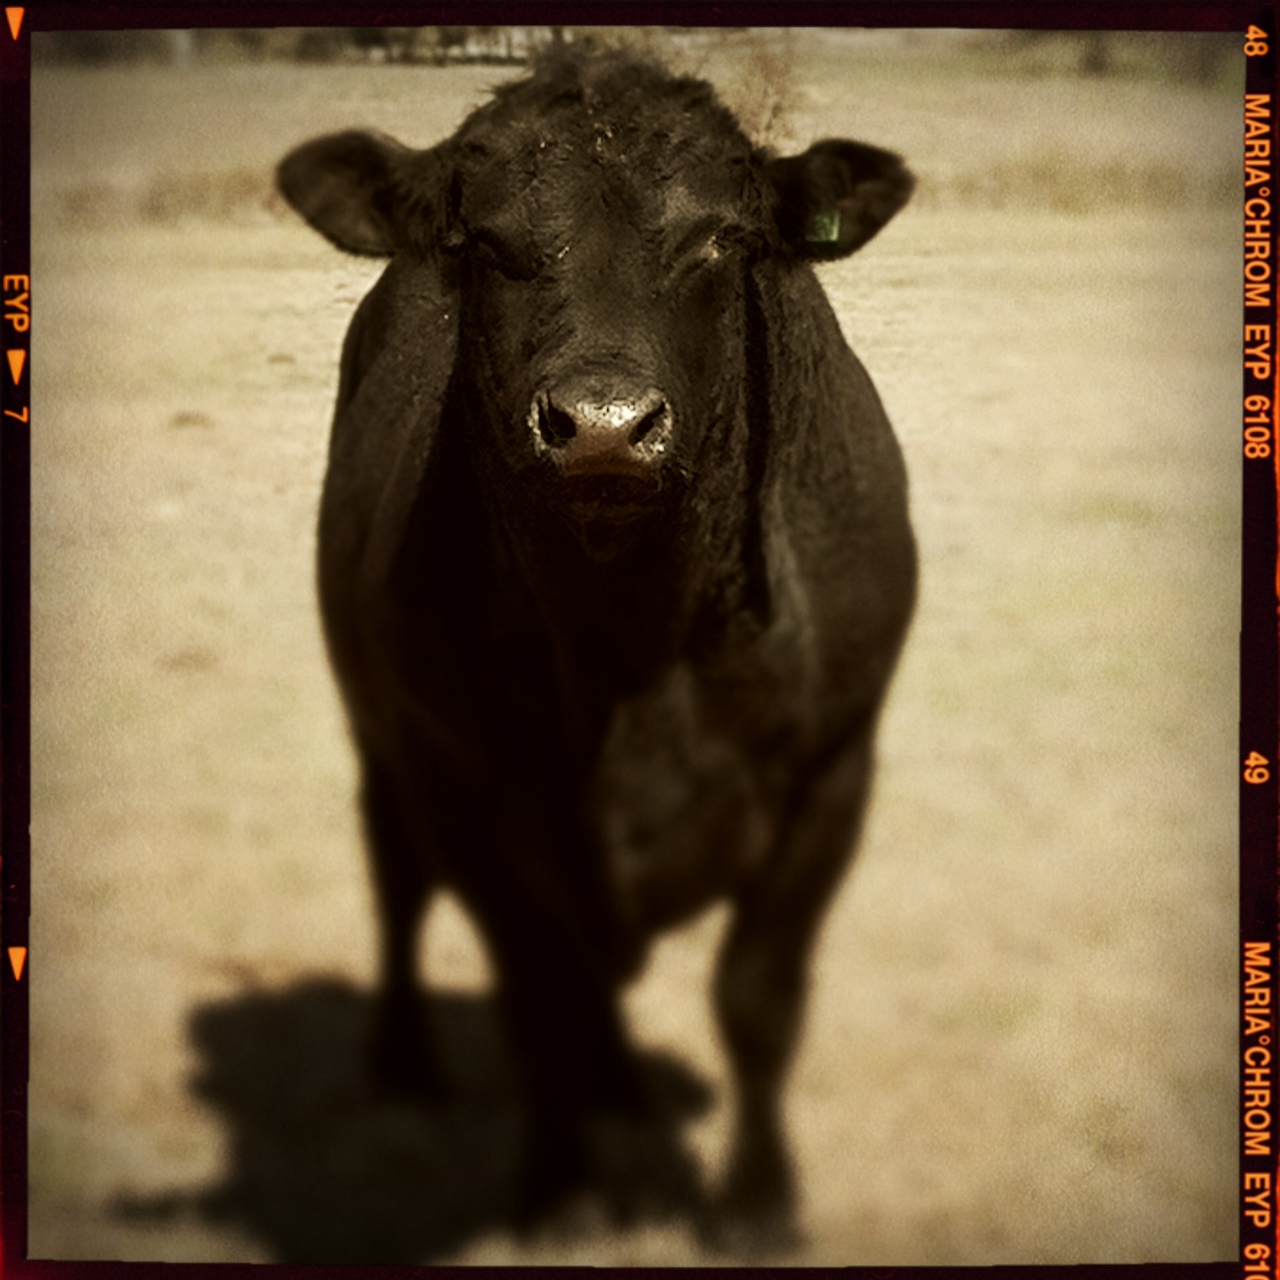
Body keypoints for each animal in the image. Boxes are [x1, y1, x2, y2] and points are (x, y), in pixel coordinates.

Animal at [276, 46, 916, 1249]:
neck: (633, 654)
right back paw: (405, 1062)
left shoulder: (832, 767)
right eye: (479, 242)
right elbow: (538, 996)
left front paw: (756, 1203)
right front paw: (561, 1194)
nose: (605, 427)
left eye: (722, 239)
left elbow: (757, 996)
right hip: (380, 732)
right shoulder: (459, 784)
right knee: (395, 874)